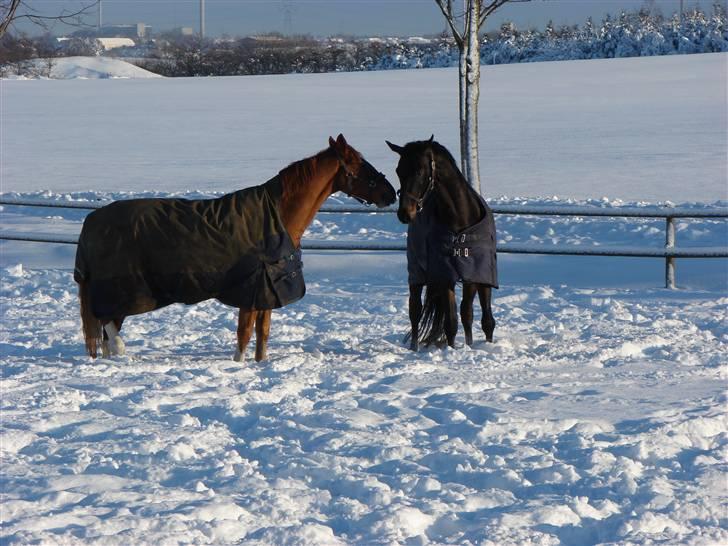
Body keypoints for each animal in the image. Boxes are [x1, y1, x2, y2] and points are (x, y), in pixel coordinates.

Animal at [77, 134, 396, 360]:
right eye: (359, 163)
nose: (391, 194)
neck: (277, 215)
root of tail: (93, 220)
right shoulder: (251, 291)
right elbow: (244, 337)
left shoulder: (266, 293)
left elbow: (261, 336)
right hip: (121, 294)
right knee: (109, 327)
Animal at [386, 136, 500, 348]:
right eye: (398, 170)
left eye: (420, 170)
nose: (405, 213)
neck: (462, 223)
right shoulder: (445, 275)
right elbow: (451, 322)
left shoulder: (479, 275)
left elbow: (481, 319)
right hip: (416, 273)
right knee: (415, 311)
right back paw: (414, 348)